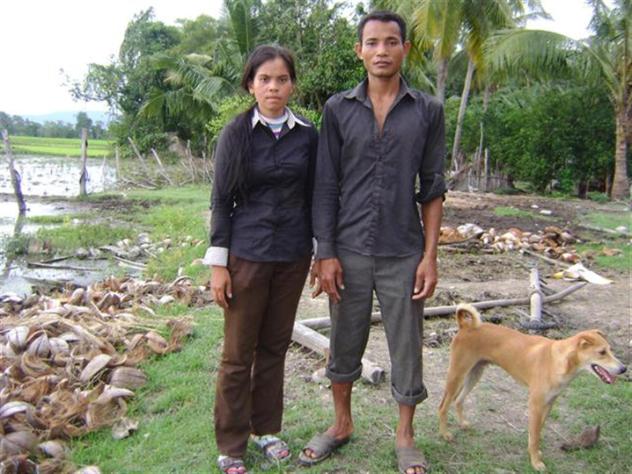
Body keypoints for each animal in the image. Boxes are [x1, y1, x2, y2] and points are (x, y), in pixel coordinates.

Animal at [438, 304, 626, 471]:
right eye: (602, 352)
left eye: (610, 350)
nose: (624, 368)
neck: (558, 361)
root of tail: (466, 326)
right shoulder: (535, 405)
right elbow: (535, 436)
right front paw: (536, 463)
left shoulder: (548, 404)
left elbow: (537, 433)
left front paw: (535, 454)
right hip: (457, 375)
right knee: (443, 406)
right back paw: (445, 435)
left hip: (474, 375)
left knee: (459, 400)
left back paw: (463, 424)